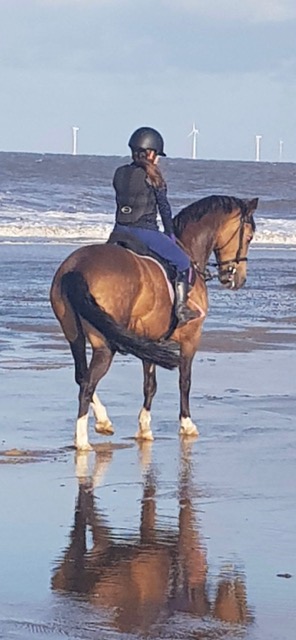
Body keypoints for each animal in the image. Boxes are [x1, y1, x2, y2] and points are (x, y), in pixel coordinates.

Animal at [49, 192, 258, 448]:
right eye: (249, 236)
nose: (238, 279)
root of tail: (76, 268)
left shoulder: (150, 340)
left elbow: (150, 385)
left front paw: (144, 428)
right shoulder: (191, 338)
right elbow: (184, 381)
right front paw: (187, 424)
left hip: (74, 335)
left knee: (81, 376)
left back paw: (103, 421)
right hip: (104, 345)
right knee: (88, 383)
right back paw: (82, 440)